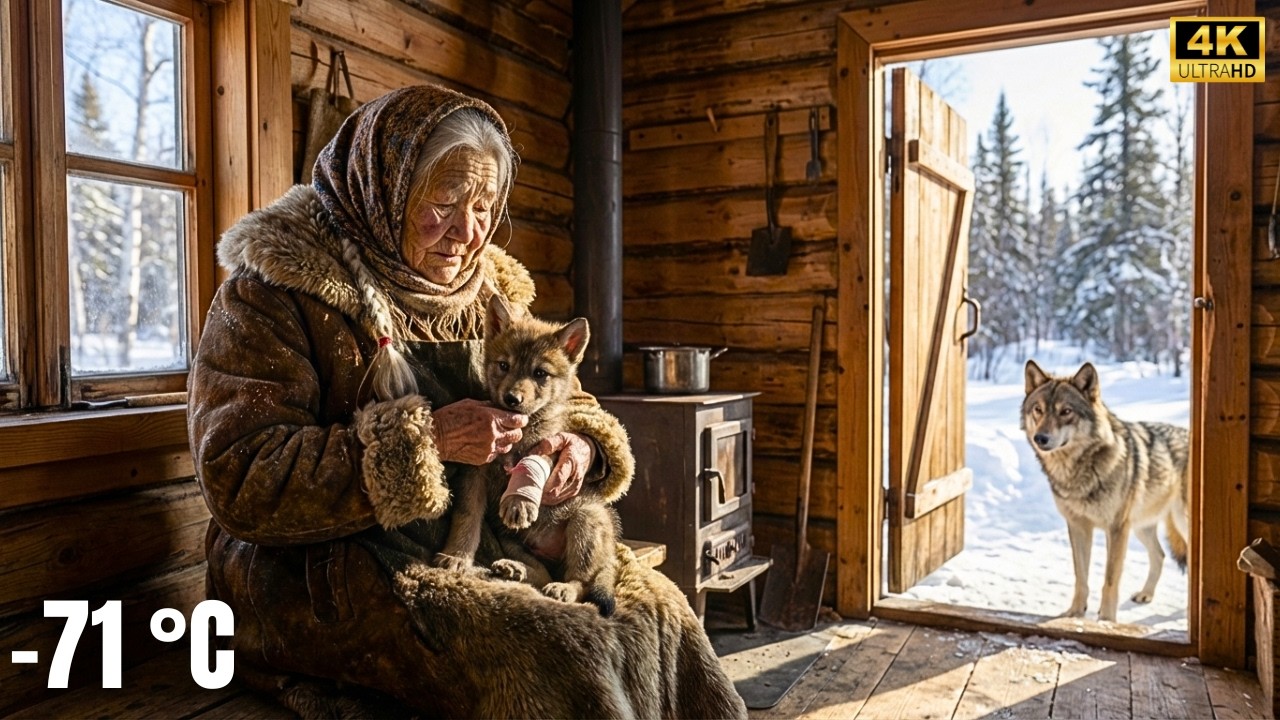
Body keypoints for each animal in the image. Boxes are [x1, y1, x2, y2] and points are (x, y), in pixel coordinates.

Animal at [433, 295, 621, 616]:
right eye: (503, 365)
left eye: (540, 373)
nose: (512, 399)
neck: (520, 431)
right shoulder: (475, 474)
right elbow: (466, 518)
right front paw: (456, 555)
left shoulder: (550, 449)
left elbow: (532, 465)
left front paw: (519, 500)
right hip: (511, 539)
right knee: (543, 574)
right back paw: (515, 569)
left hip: (585, 520)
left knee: (582, 582)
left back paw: (563, 588)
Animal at [1022, 360, 1190, 622]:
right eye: (1038, 410)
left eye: (1066, 411)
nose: (1041, 438)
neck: (1078, 471)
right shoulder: (1078, 526)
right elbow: (1081, 577)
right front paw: (1074, 614)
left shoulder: (1117, 529)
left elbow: (1110, 580)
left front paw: (1107, 621)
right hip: (1141, 527)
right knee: (1160, 555)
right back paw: (1146, 594)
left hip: (1181, 524)